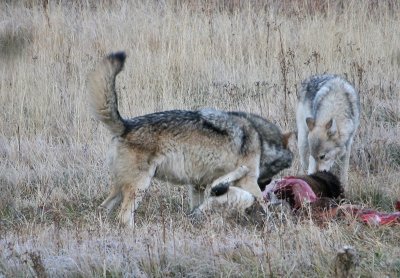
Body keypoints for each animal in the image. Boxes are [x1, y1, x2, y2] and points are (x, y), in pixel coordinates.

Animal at [87, 51, 292, 226]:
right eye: (282, 167)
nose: (267, 183)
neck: (260, 139)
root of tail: (126, 125)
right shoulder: (248, 181)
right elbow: (263, 203)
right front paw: (275, 223)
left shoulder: (197, 185)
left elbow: (198, 206)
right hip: (141, 186)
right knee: (123, 217)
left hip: (121, 188)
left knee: (103, 208)